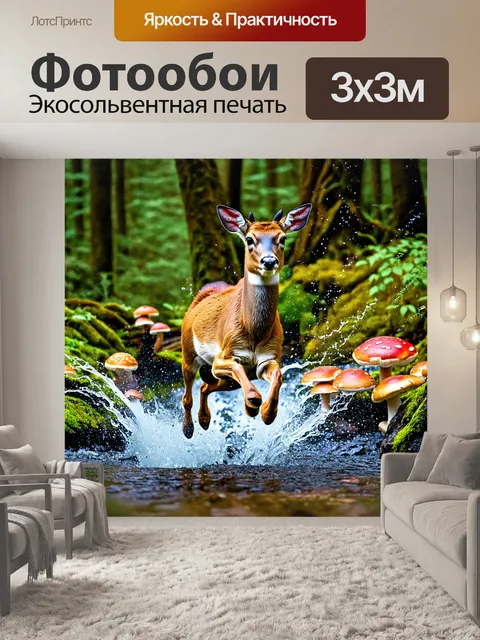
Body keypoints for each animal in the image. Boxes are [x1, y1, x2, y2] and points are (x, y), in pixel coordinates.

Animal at [180, 203, 312, 438]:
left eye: (283, 238)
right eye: (250, 239)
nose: (269, 261)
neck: (254, 332)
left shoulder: (269, 358)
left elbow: (279, 375)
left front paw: (267, 412)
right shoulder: (224, 355)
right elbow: (239, 370)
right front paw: (252, 403)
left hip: (224, 381)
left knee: (206, 386)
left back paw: (205, 420)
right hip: (188, 353)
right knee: (187, 396)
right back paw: (188, 429)